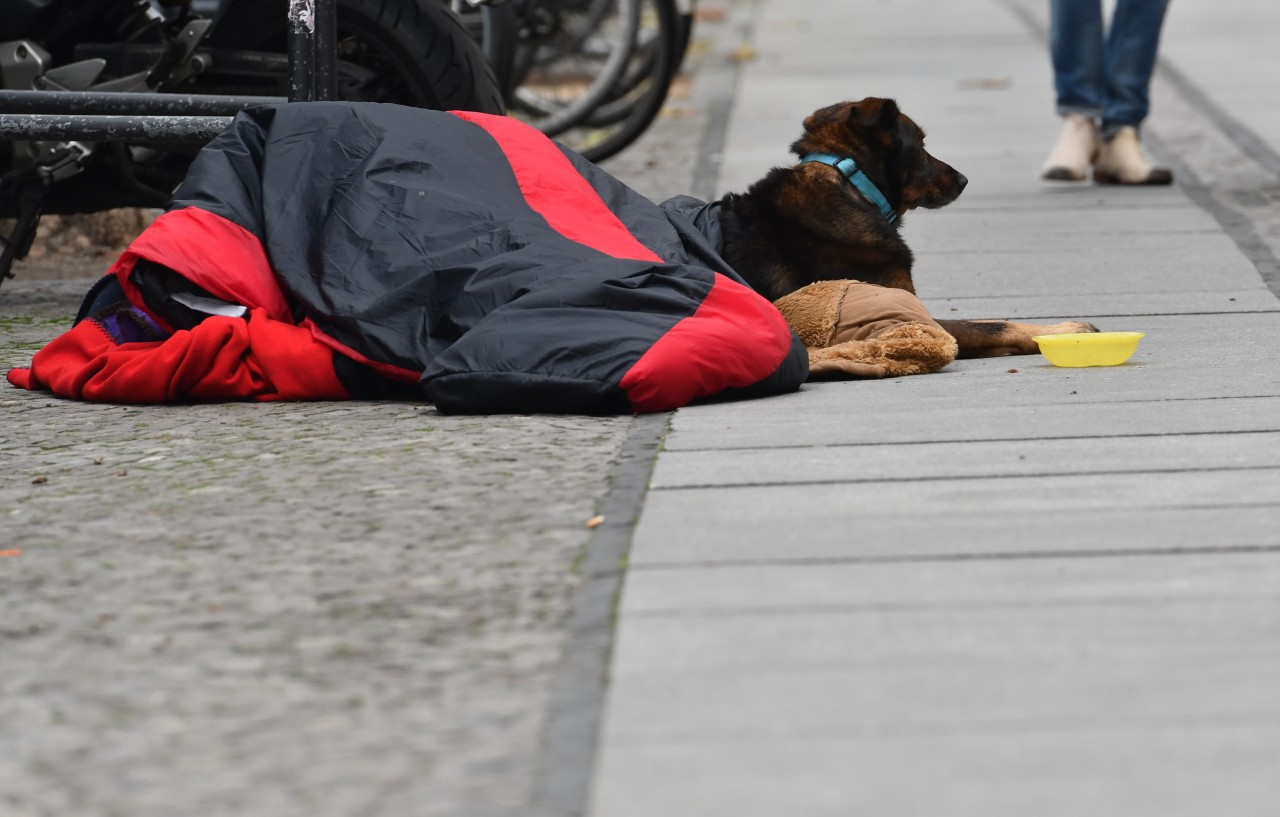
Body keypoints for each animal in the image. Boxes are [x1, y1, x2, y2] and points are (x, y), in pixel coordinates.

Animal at [721, 96, 1100, 358]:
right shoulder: (906, 317)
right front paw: (1065, 330)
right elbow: (995, 325)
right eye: (920, 146)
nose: (963, 180)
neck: (853, 184)